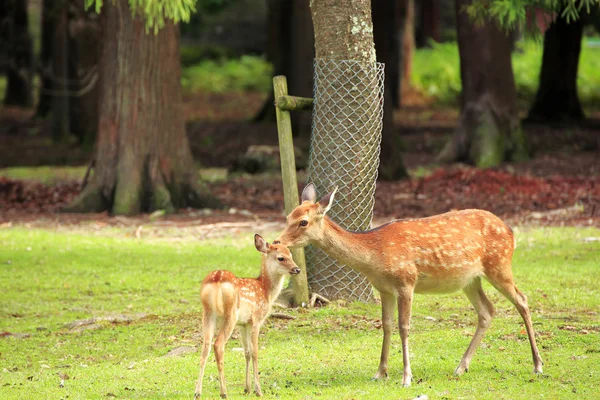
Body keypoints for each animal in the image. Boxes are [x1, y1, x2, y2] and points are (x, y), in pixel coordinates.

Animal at [196, 234, 300, 396]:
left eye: (291, 254)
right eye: (281, 258)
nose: (297, 269)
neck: (265, 291)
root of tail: (217, 279)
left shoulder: (243, 323)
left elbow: (247, 352)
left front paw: (247, 388)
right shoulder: (256, 319)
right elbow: (255, 352)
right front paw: (258, 390)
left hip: (208, 313)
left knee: (205, 347)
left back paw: (197, 392)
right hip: (230, 314)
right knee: (218, 345)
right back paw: (224, 392)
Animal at [276, 184, 544, 384]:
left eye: (303, 222)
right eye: (288, 216)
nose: (277, 241)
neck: (375, 255)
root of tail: (511, 231)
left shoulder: (406, 282)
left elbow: (404, 326)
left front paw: (406, 377)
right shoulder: (383, 288)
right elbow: (386, 325)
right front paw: (380, 373)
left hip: (499, 265)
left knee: (522, 300)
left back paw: (538, 365)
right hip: (470, 279)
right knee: (487, 311)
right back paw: (461, 367)